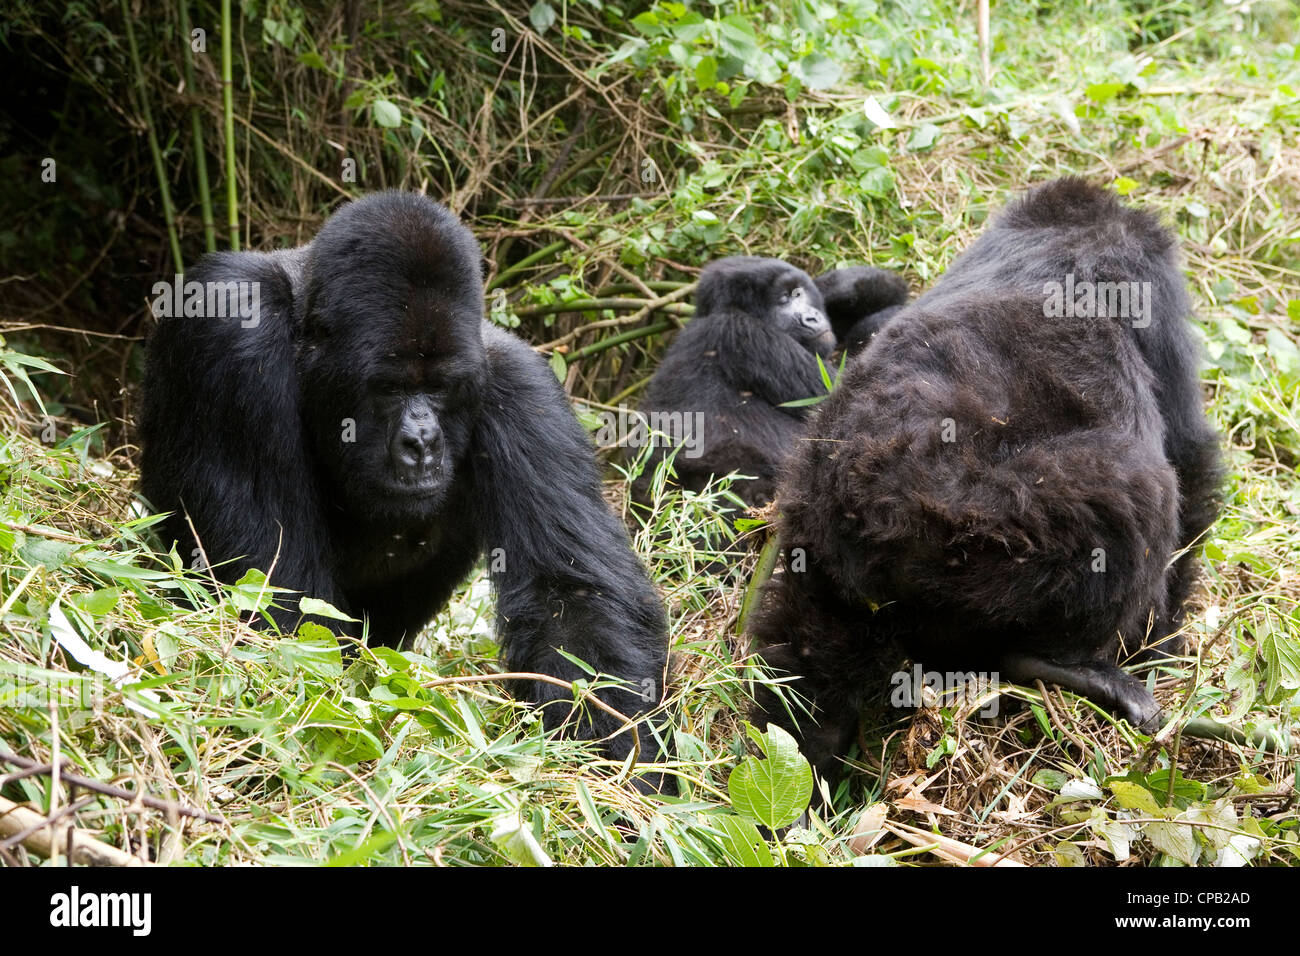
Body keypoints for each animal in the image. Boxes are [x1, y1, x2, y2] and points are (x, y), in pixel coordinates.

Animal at [142, 191, 670, 775]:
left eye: (441, 388)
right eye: (389, 388)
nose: (422, 444)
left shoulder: (521, 384)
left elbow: (573, 599)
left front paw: (617, 765)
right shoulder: (230, 328)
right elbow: (278, 593)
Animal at [748, 179, 1222, 780]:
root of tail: (878, 508)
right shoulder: (1151, 287)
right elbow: (1189, 456)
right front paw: (1159, 644)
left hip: (816, 538)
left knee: (809, 668)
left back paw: (801, 757)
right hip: (988, 531)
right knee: (1137, 492)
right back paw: (1060, 663)